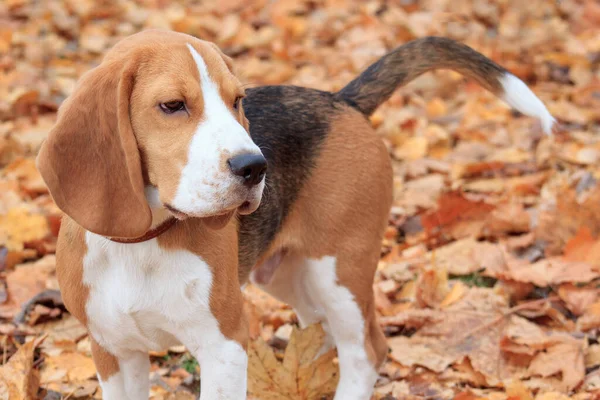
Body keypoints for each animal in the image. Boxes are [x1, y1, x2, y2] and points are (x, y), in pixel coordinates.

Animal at [35, 28, 556, 400]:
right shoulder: (113, 352)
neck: (145, 244)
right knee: (321, 334)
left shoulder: (225, 345)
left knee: (366, 352)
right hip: (287, 274)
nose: (255, 166)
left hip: (340, 269)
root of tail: (342, 100)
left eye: (238, 101)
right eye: (172, 106)